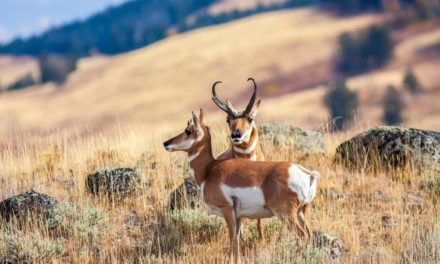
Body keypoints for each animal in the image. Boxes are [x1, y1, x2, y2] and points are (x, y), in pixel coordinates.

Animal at [162, 109, 320, 262]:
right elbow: (237, 242)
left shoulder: (227, 210)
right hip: (301, 213)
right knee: (309, 235)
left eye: (188, 131)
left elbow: (232, 241)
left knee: (302, 236)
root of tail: (306, 173)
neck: (209, 169)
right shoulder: (238, 217)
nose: (166, 143)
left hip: (286, 215)